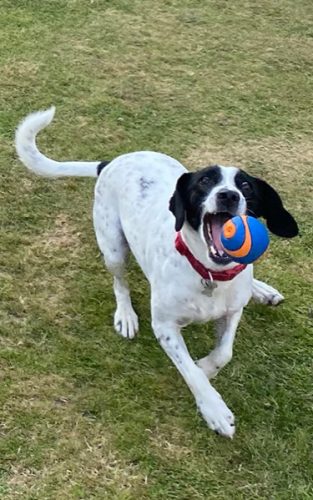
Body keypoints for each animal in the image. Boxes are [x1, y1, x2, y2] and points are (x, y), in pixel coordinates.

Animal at [15, 106, 298, 438]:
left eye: (245, 186)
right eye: (205, 181)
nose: (228, 195)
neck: (209, 274)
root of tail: (114, 160)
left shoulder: (232, 310)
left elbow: (223, 353)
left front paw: (206, 368)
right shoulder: (164, 326)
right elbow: (190, 370)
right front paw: (213, 409)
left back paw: (262, 290)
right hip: (113, 247)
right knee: (119, 283)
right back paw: (125, 315)